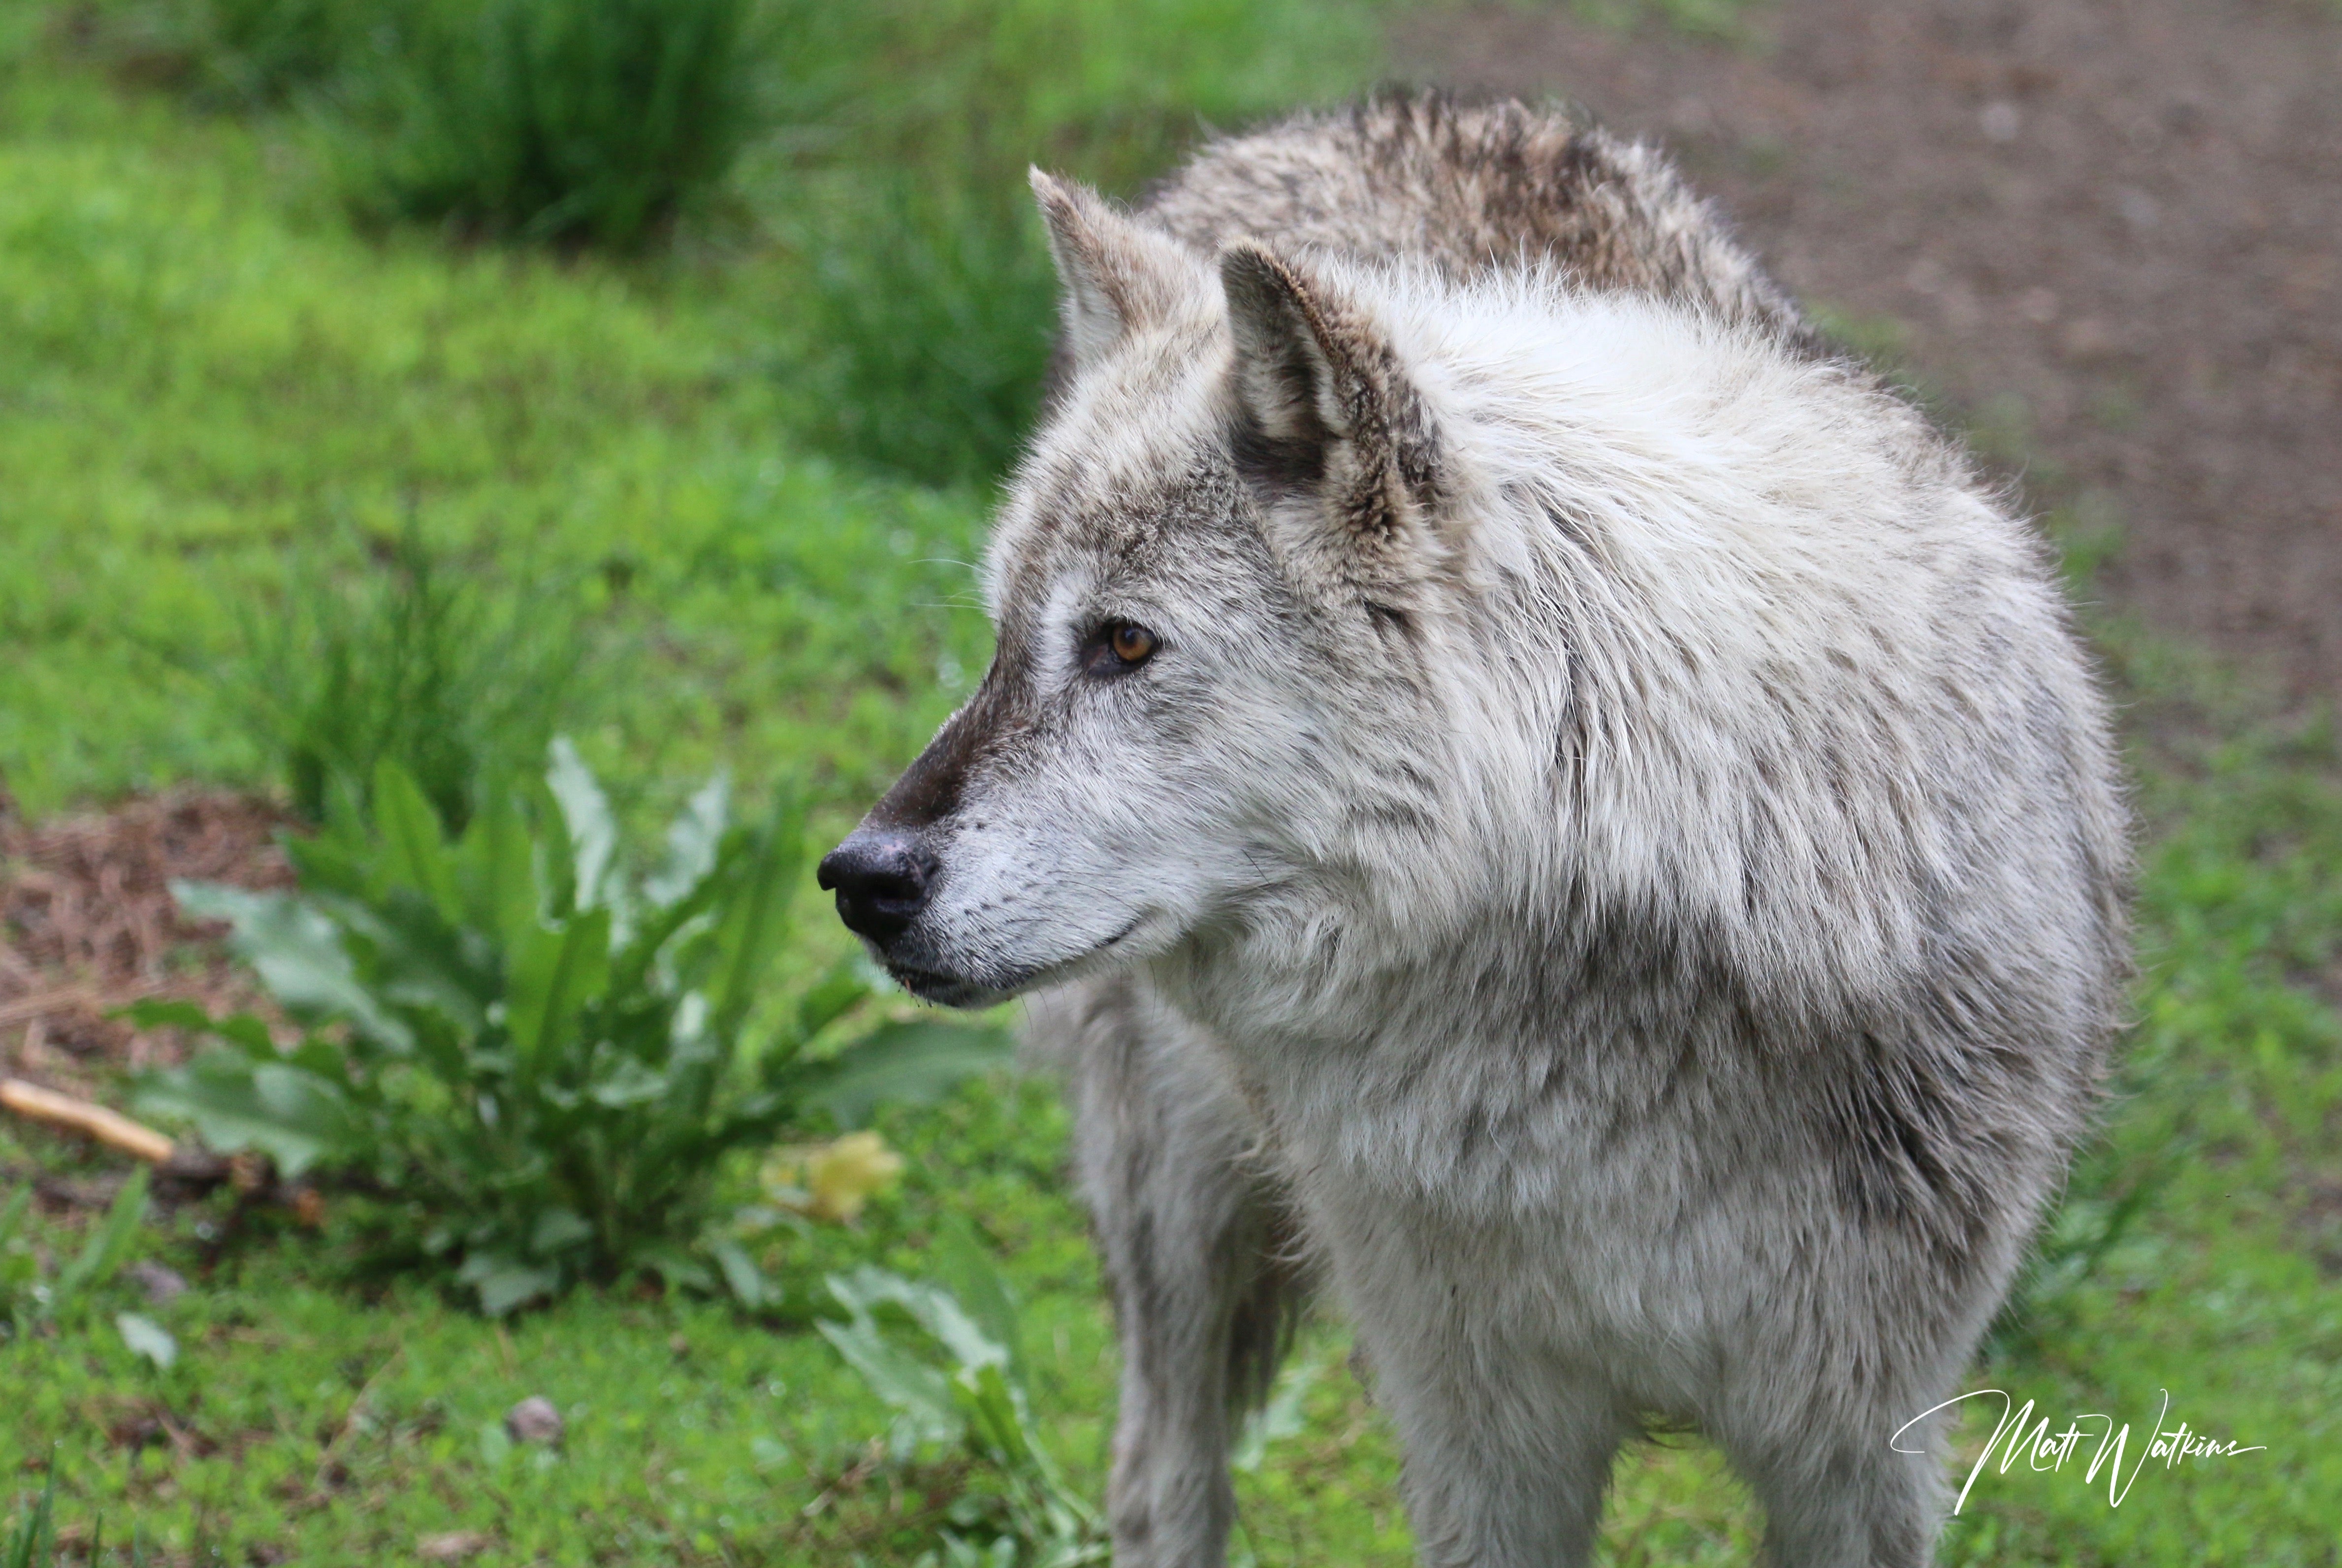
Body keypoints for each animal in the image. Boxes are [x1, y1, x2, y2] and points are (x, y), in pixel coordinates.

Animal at [819, 95, 2126, 1568]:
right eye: (1004, 643)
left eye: (1123, 644)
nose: (857, 879)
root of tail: (1367, 109)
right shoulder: (1481, 1438)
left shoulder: (1859, 1445)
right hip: (1175, 1210)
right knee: (1160, 1481)